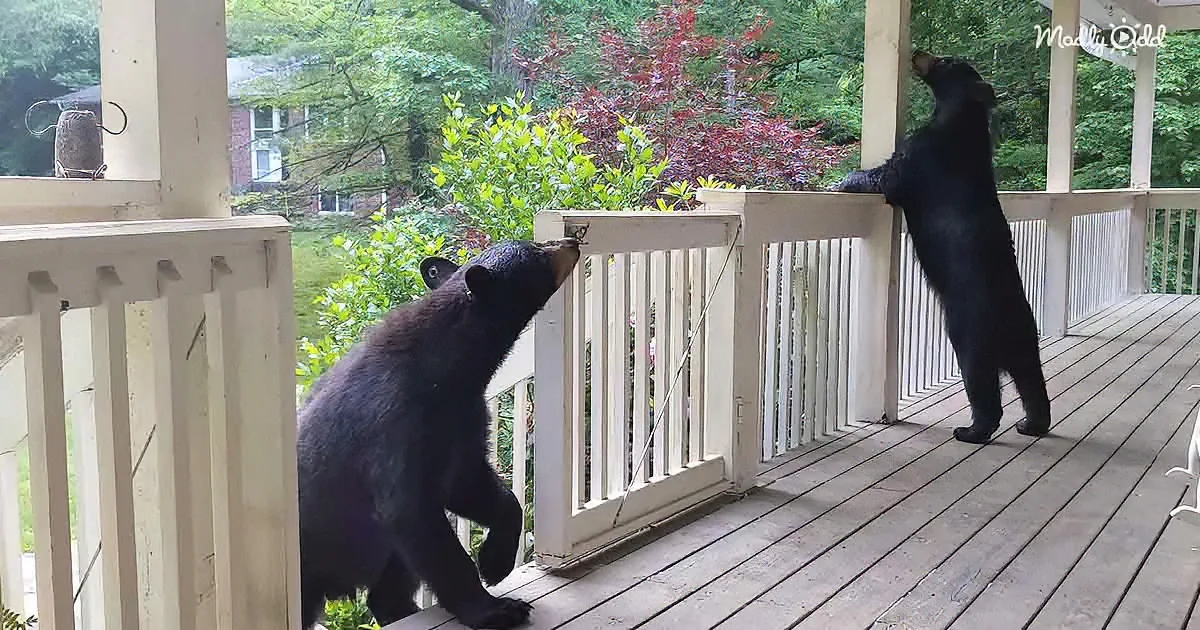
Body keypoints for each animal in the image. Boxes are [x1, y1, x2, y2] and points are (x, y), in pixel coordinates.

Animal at [296, 237, 582, 629]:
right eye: (535, 251)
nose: (571, 241)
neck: (451, 374)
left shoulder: (461, 425)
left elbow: (473, 486)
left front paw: (495, 562)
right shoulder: (396, 426)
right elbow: (416, 515)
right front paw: (494, 608)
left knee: (388, 585)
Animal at [831, 50, 1051, 445]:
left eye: (947, 61)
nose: (919, 52)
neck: (960, 120)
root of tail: (1010, 319)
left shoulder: (919, 157)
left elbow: (887, 177)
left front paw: (844, 181)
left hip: (970, 330)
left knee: (981, 381)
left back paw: (973, 429)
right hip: (1025, 339)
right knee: (1031, 378)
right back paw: (1033, 423)